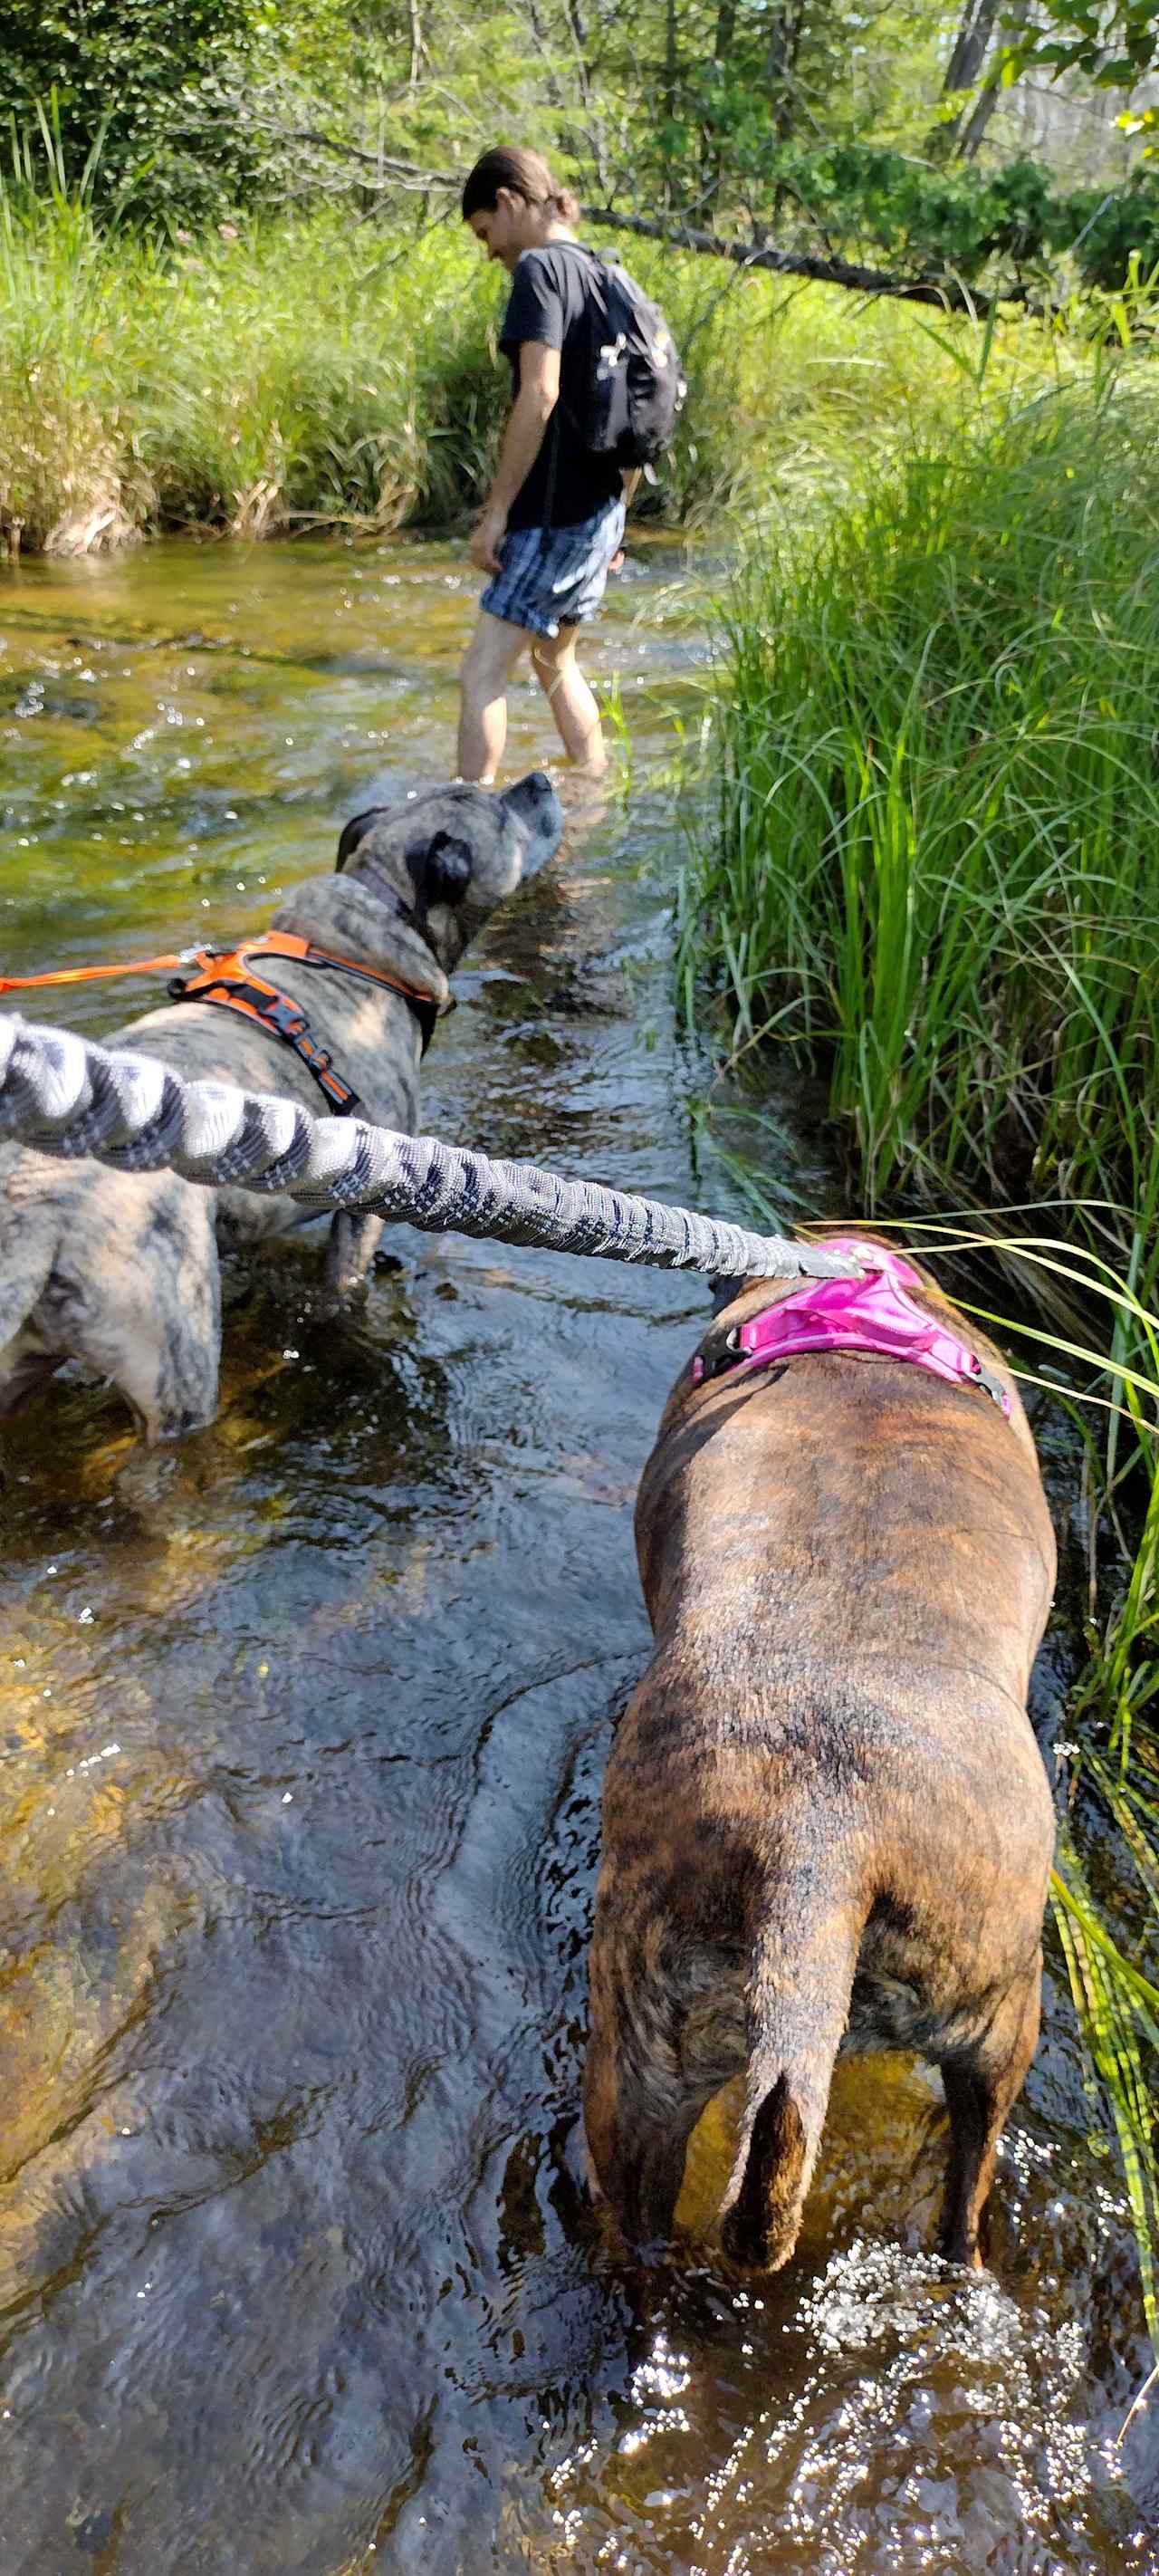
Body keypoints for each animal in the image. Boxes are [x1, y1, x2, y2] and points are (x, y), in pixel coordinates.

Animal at [0, 773, 561, 1442]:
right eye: (503, 814)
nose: (539, 780)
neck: (368, 935)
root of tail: (36, 1222)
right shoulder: (366, 1205)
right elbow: (344, 1286)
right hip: (174, 1367)